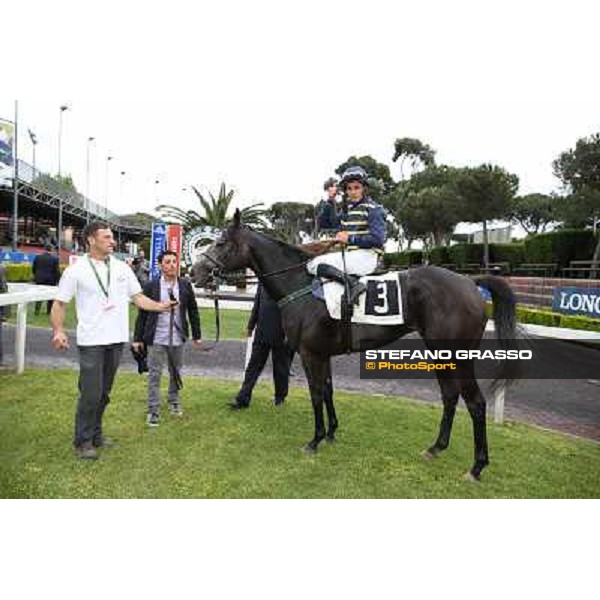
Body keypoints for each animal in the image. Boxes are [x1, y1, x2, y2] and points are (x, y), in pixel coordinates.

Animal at [192, 209, 520, 480]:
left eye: (220, 243)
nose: (195, 273)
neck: (300, 286)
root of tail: (470, 282)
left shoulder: (309, 354)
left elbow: (316, 394)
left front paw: (314, 440)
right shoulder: (323, 354)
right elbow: (327, 390)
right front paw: (332, 432)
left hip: (457, 356)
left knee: (476, 403)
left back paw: (477, 467)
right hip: (439, 354)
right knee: (450, 396)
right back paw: (436, 448)